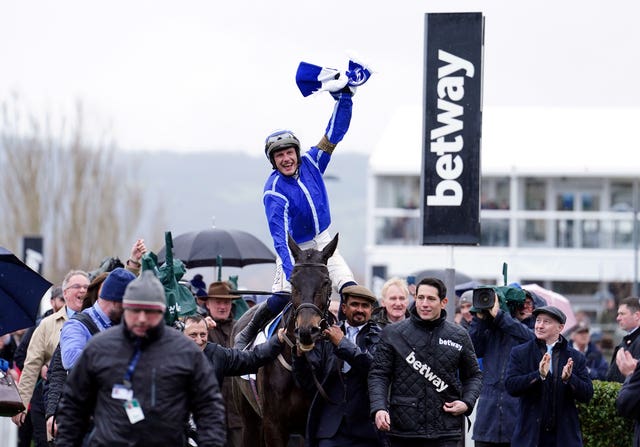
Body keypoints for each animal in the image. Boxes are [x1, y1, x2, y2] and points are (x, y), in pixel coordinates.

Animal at [231, 233, 340, 446]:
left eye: (325, 282)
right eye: (293, 282)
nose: (307, 331)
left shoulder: (311, 425)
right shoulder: (273, 424)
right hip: (249, 420)